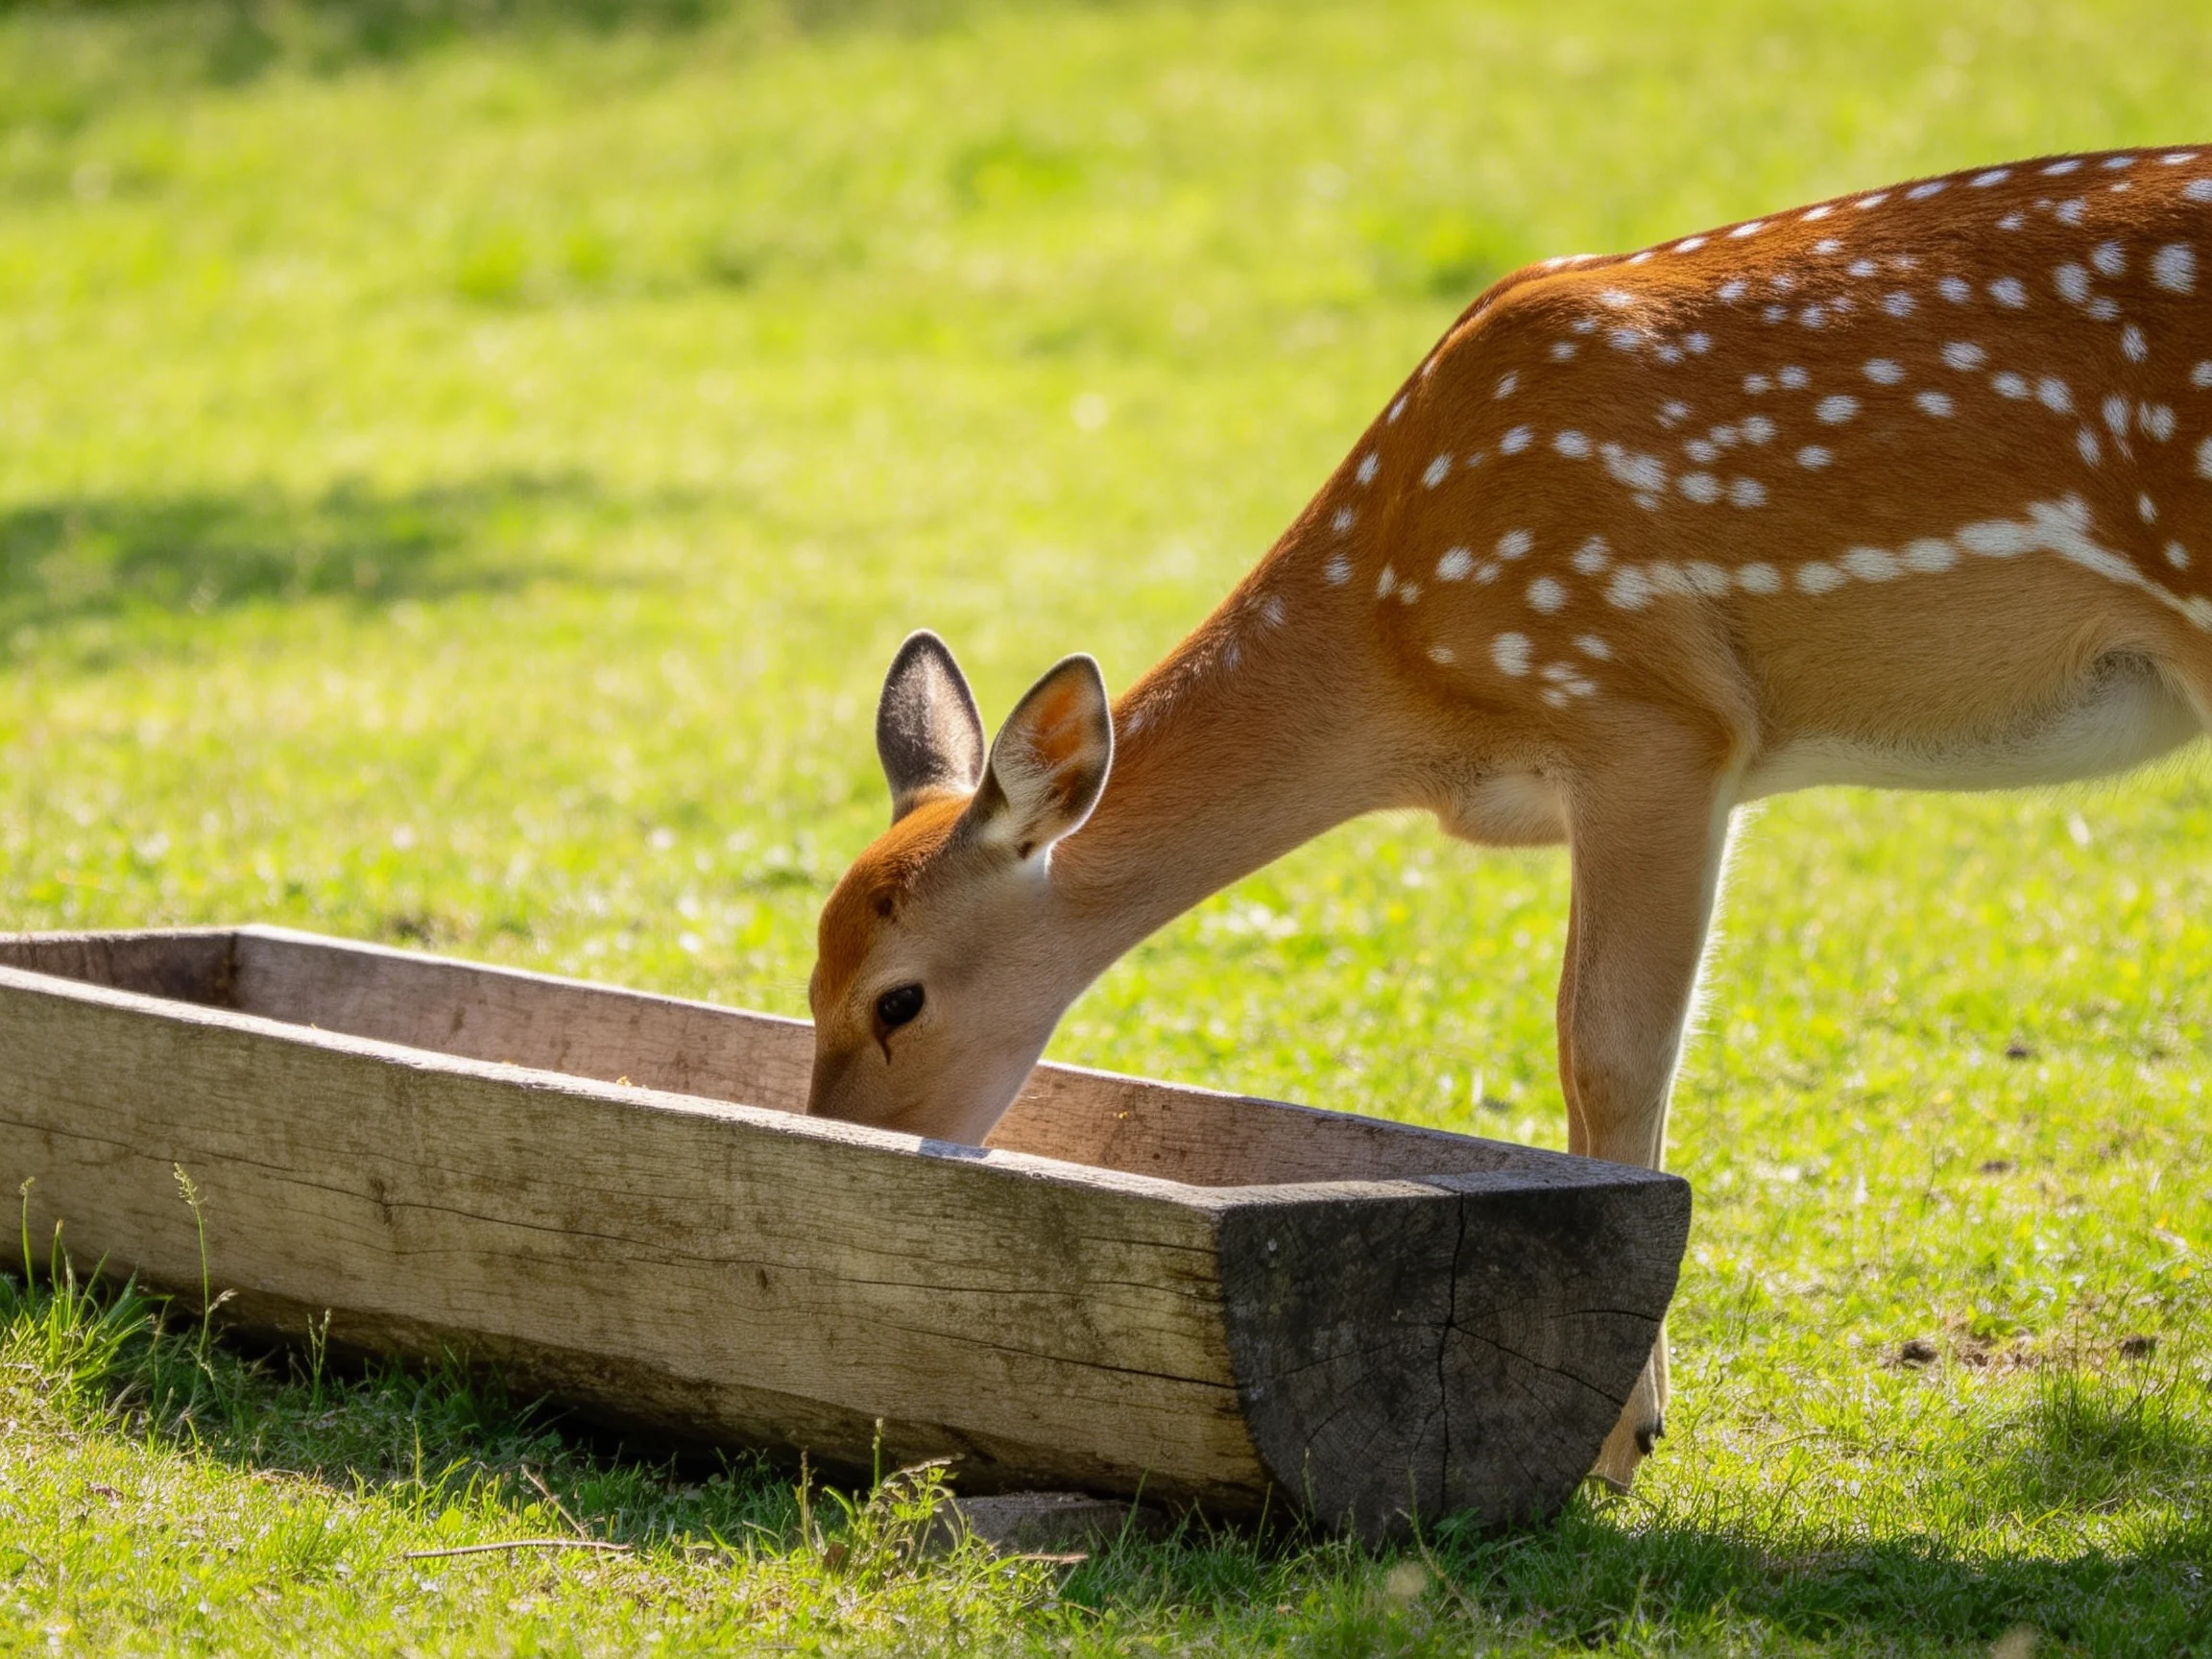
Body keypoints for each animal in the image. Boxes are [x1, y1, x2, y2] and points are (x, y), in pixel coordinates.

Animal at [803, 147, 2212, 1491]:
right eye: (806, 983)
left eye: (898, 1000)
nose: (832, 1149)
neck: (1405, 673)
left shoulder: (1650, 715)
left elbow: (1610, 1048)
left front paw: (1622, 1441)